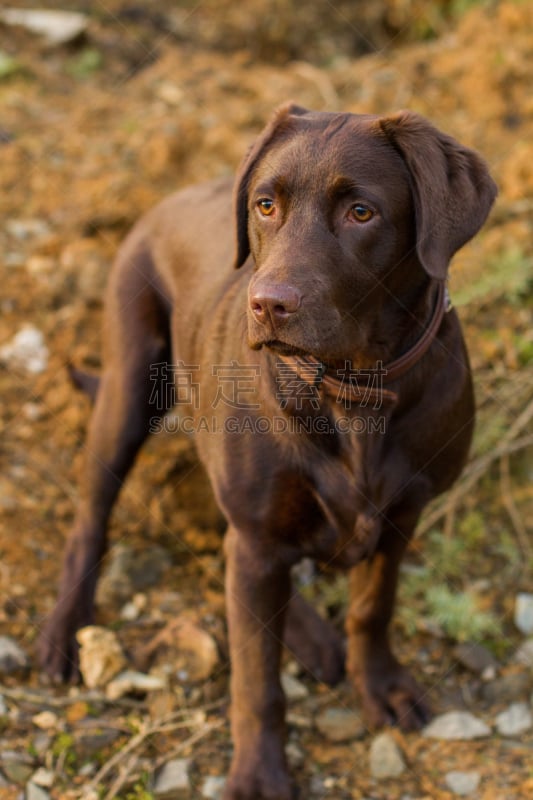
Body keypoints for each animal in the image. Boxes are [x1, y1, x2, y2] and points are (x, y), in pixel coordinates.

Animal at [39, 108, 496, 800]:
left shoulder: (402, 517)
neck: (352, 391)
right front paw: (258, 773)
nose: (267, 304)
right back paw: (67, 628)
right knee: (94, 520)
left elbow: (373, 608)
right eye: (265, 205)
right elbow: (257, 678)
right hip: (128, 385)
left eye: (361, 212)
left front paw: (380, 686)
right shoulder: (258, 537)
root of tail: (162, 202)